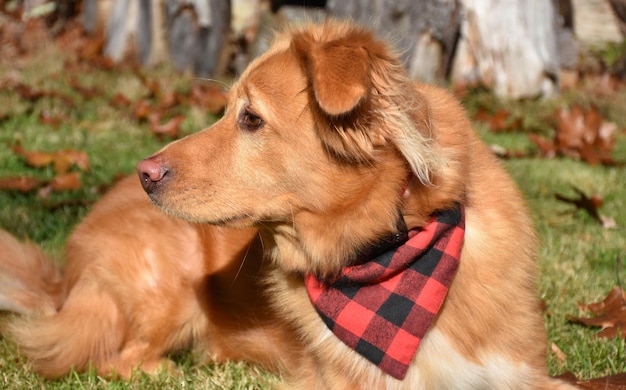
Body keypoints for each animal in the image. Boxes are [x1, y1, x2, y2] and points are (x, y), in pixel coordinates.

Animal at [1, 22, 576, 390]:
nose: (146, 172)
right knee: (114, 359)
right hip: (168, 288)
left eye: (250, 118)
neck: (390, 250)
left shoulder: (525, 374)